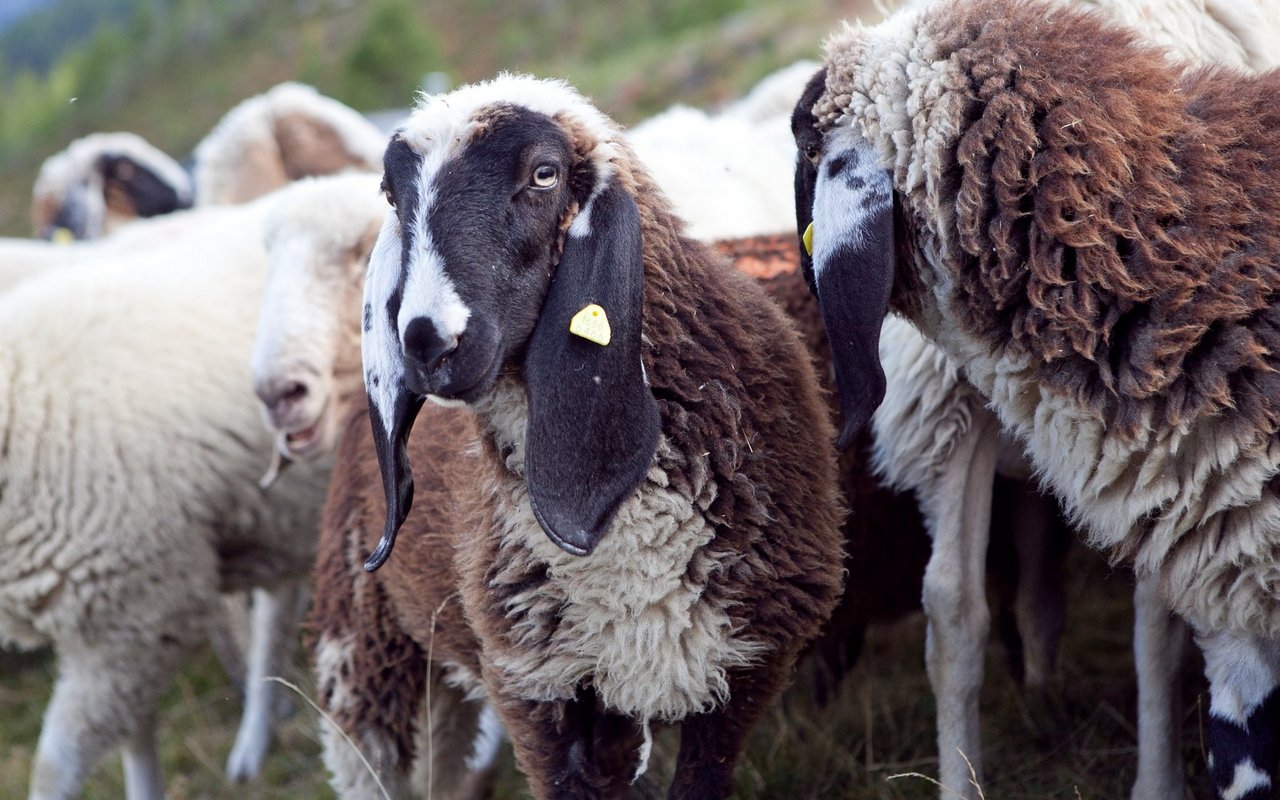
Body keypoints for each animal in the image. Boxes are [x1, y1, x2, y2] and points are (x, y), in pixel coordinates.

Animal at [1, 194, 330, 798]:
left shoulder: (136, 608)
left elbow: (53, 766)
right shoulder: (124, 616)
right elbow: (135, 736)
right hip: (283, 507)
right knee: (278, 602)